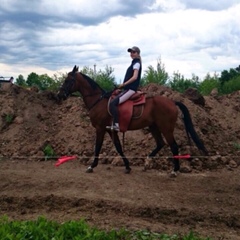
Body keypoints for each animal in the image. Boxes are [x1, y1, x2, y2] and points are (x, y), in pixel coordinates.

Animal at [57, 64, 207, 175]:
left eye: (68, 80)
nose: (59, 95)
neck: (98, 101)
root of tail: (172, 102)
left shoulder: (100, 129)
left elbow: (98, 147)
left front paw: (92, 166)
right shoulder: (110, 130)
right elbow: (118, 147)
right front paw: (128, 166)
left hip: (166, 128)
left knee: (173, 146)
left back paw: (175, 170)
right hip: (153, 126)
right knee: (160, 144)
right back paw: (147, 161)